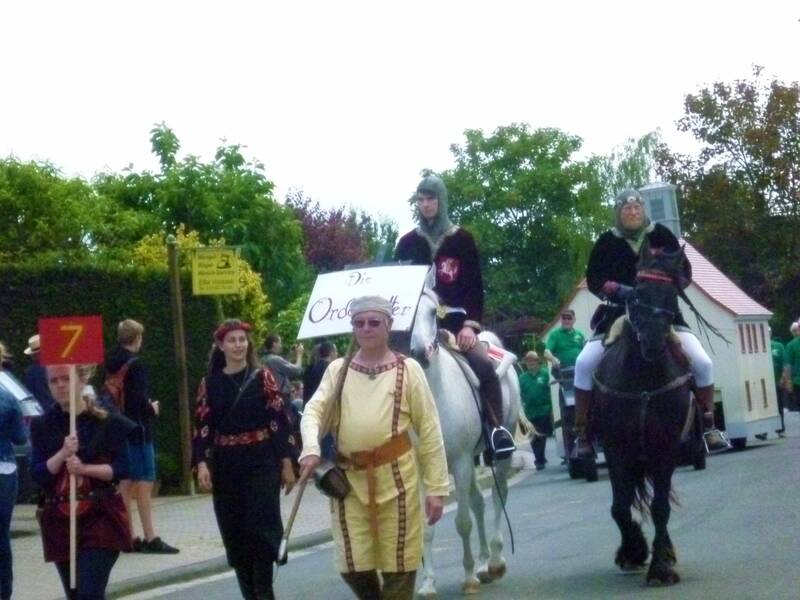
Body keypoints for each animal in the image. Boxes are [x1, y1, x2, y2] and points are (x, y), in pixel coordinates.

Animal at [409, 285, 521, 597]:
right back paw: (483, 564)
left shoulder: (459, 462)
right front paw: (428, 584)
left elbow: (462, 522)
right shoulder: (424, 468)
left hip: (497, 453)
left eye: (432, 312)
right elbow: (427, 527)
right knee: (478, 502)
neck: (434, 396)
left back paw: (494, 562)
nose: (419, 353)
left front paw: (469, 578)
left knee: (497, 496)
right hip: (470, 460)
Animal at [593, 245, 694, 587]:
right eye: (637, 291)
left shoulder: (666, 448)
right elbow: (620, 508)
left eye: (672, 294)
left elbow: (660, 507)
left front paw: (661, 566)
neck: (643, 379)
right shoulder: (616, 450)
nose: (652, 341)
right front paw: (633, 550)